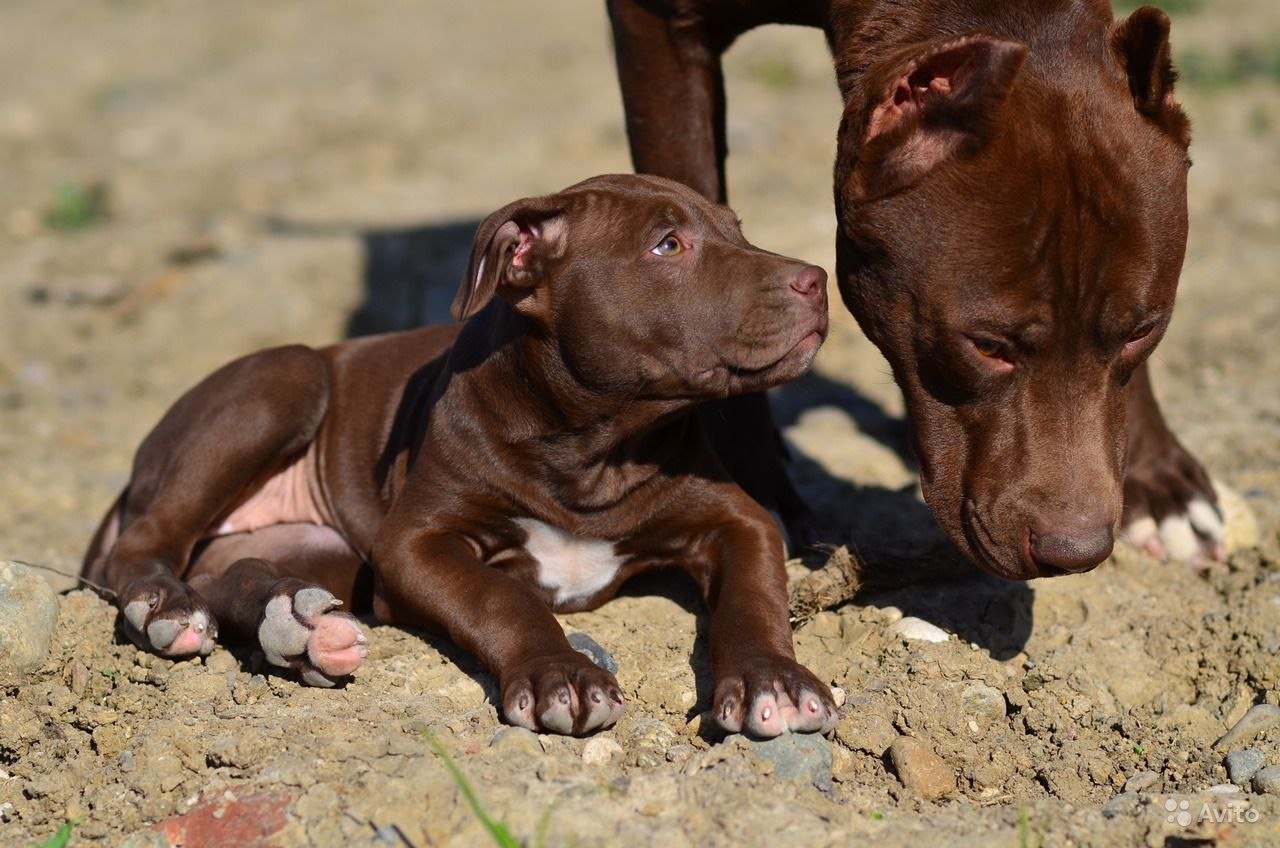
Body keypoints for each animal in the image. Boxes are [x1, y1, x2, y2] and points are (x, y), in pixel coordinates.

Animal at [82, 175, 839, 742]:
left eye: (737, 229)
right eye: (668, 243)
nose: (815, 279)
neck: (592, 449)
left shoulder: (740, 520)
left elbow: (754, 595)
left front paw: (774, 680)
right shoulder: (416, 543)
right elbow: (500, 597)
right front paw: (559, 673)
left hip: (329, 551)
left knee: (231, 573)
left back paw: (296, 627)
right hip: (281, 384)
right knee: (150, 539)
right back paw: (166, 605)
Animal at [604, 0, 1223, 578]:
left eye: (1142, 333)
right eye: (988, 347)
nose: (1077, 552)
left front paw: (1158, 480)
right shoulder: (661, 29)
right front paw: (742, 483)